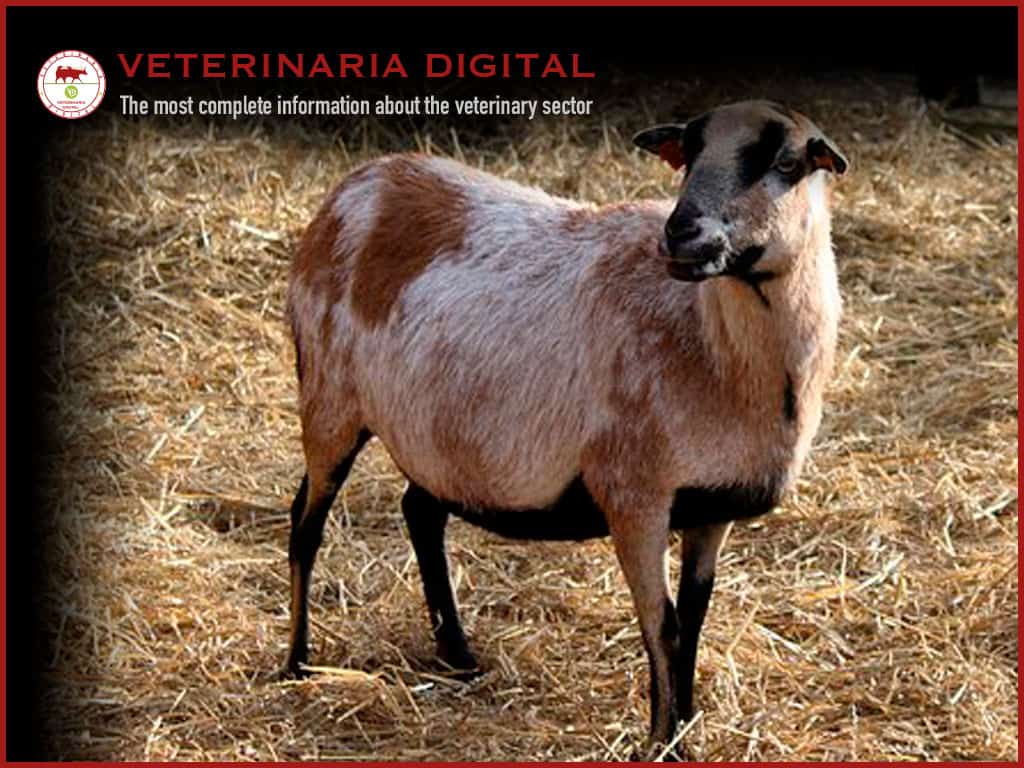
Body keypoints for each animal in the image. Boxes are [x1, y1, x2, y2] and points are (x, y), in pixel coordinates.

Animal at [284, 100, 847, 748]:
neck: (719, 350)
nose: (681, 233)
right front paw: (663, 743)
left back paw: (458, 656)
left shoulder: (712, 509)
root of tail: (359, 182)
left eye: (785, 163)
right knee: (306, 522)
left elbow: (695, 622)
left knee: (421, 513)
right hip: (328, 398)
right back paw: (297, 662)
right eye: (688, 155)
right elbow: (665, 627)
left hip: (436, 435)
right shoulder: (633, 494)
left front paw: (686, 729)